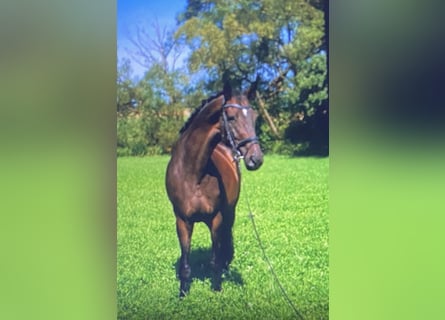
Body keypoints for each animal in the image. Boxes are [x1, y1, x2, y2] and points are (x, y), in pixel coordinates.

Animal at [166, 83, 264, 298]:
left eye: (255, 117)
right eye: (232, 117)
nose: (256, 159)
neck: (194, 173)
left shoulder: (216, 219)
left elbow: (215, 260)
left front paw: (216, 289)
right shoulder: (182, 221)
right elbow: (185, 264)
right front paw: (183, 294)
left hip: (230, 212)